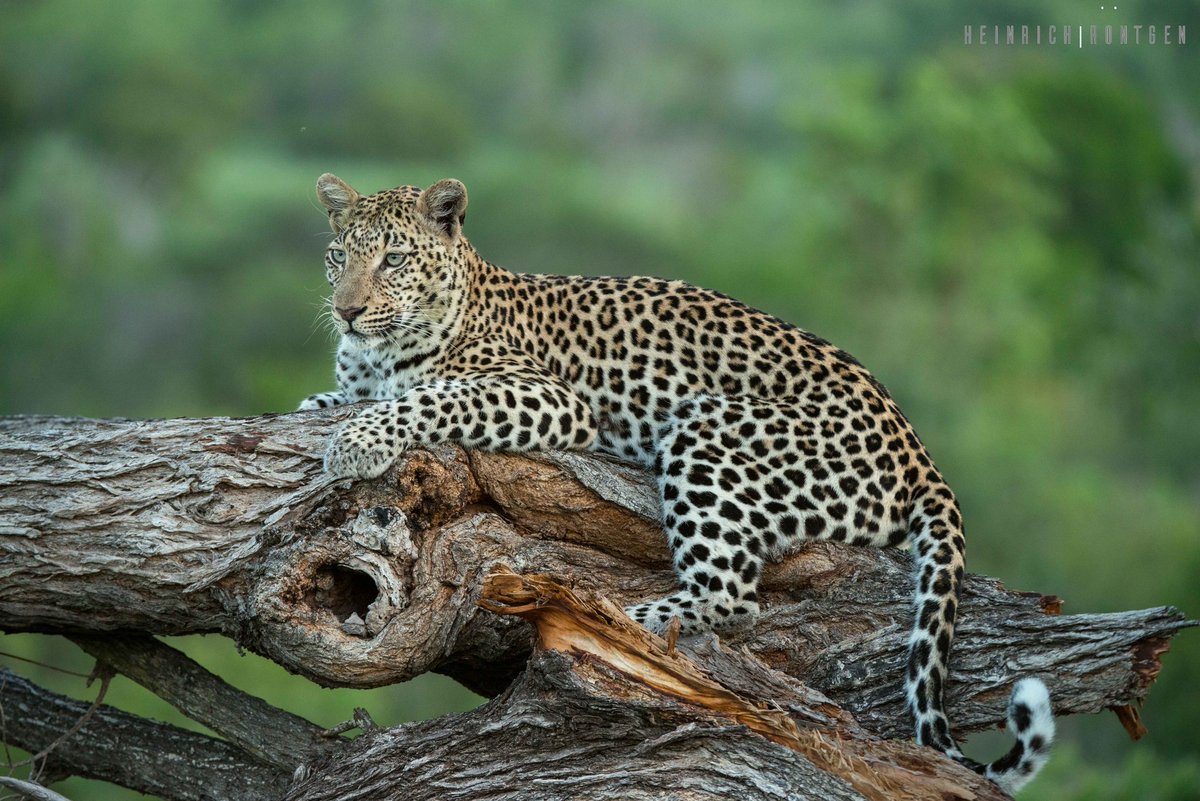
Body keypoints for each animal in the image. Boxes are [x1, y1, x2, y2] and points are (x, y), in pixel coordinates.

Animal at [298, 174, 1055, 794]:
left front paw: (358, 442)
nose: (346, 310)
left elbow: (429, 397)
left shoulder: (548, 396)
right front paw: (332, 411)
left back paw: (621, 620)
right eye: (338, 257)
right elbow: (334, 397)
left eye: (395, 260)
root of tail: (918, 450)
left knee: (732, 595)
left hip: (706, 423)